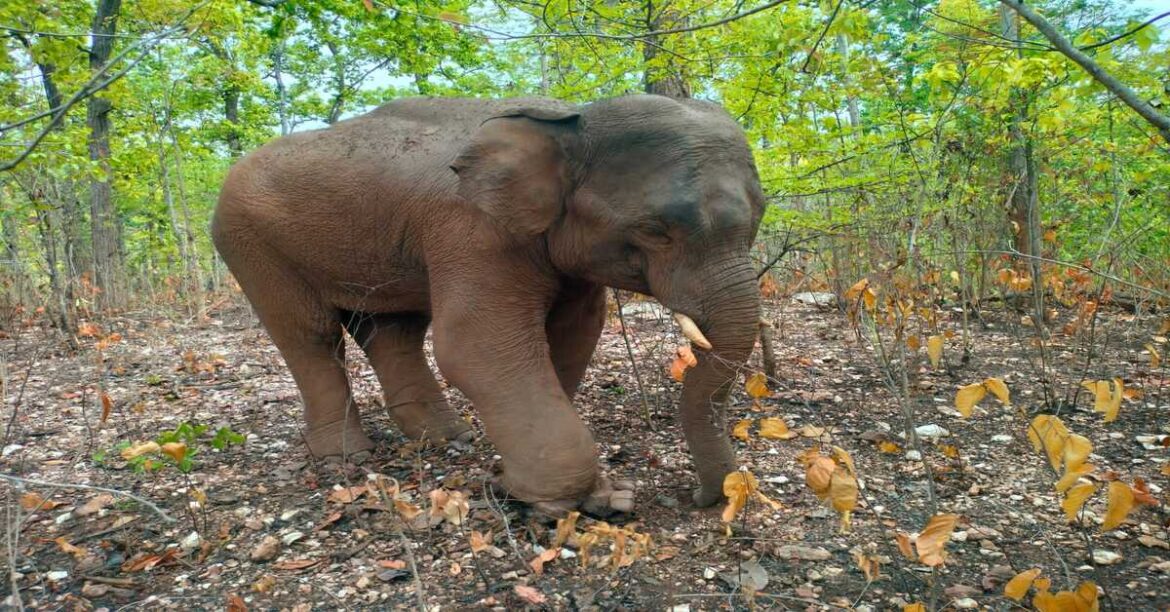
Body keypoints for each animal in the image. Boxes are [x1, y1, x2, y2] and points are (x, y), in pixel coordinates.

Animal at [211, 94, 765, 516]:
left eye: (759, 216)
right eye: (655, 230)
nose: (701, 498)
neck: (566, 121)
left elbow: (573, 338)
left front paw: (574, 492)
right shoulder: (472, 232)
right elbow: (474, 348)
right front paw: (558, 504)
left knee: (393, 331)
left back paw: (444, 439)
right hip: (248, 241)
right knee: (311, 336)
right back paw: (344, 457)